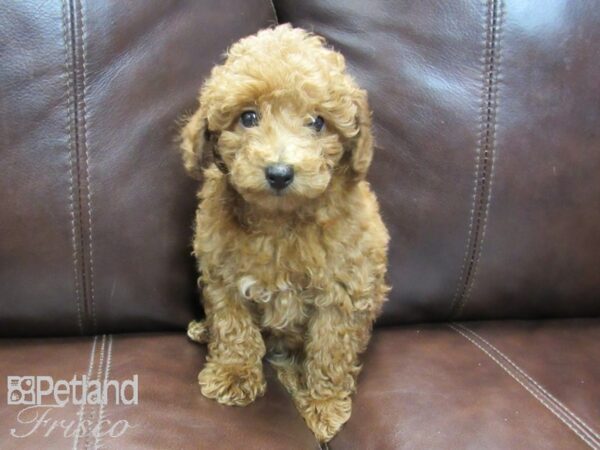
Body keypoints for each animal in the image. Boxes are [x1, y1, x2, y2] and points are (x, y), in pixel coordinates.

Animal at [182, 24, 390, 442]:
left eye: (318, 122)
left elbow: (330, 349)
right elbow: (233, 326)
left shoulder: (343, 293)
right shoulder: (222, 277)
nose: (279, 172)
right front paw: (233, 374)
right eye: (248, 117)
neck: (279, 220)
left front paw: (324, 403)